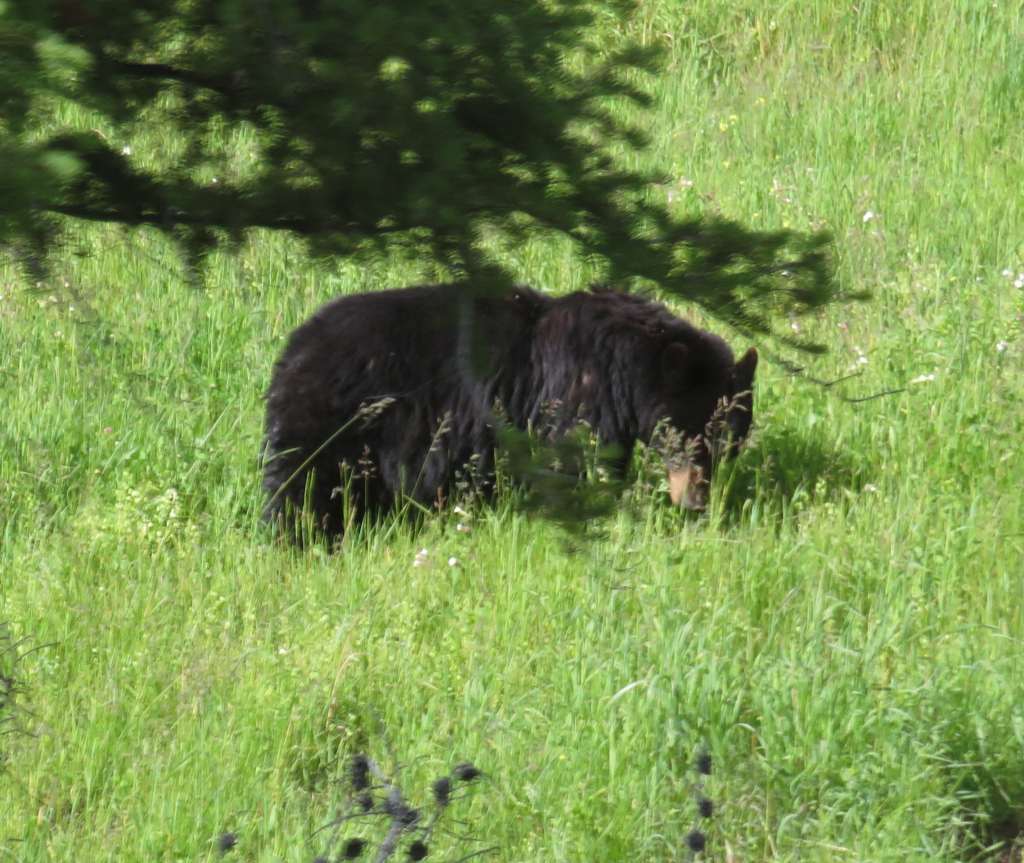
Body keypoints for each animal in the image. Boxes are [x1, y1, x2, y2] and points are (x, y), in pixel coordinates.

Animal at [262, 283, 758, 538]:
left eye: (727, 443)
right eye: (682, 439)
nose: (696, 504)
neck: (622, 365)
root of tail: (293, 350)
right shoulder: (574, 399)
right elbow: (573, 465)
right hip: (335, 422)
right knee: (304, 483)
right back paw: (303, 538)